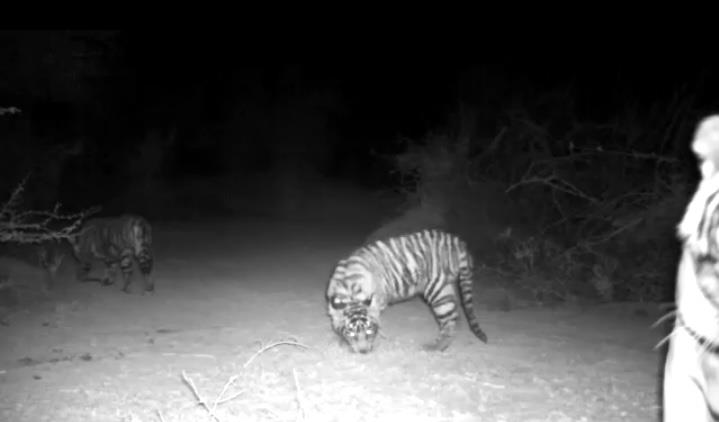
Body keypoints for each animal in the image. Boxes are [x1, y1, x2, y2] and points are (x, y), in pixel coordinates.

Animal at [326, 229, 488, 353]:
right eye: (351, 333)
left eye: (369, 330)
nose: (363, 351)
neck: (350, 291)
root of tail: (458, 242)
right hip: (445, 288)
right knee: (454, 315)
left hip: (437, 289)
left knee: (449, 318)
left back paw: (435, 347)